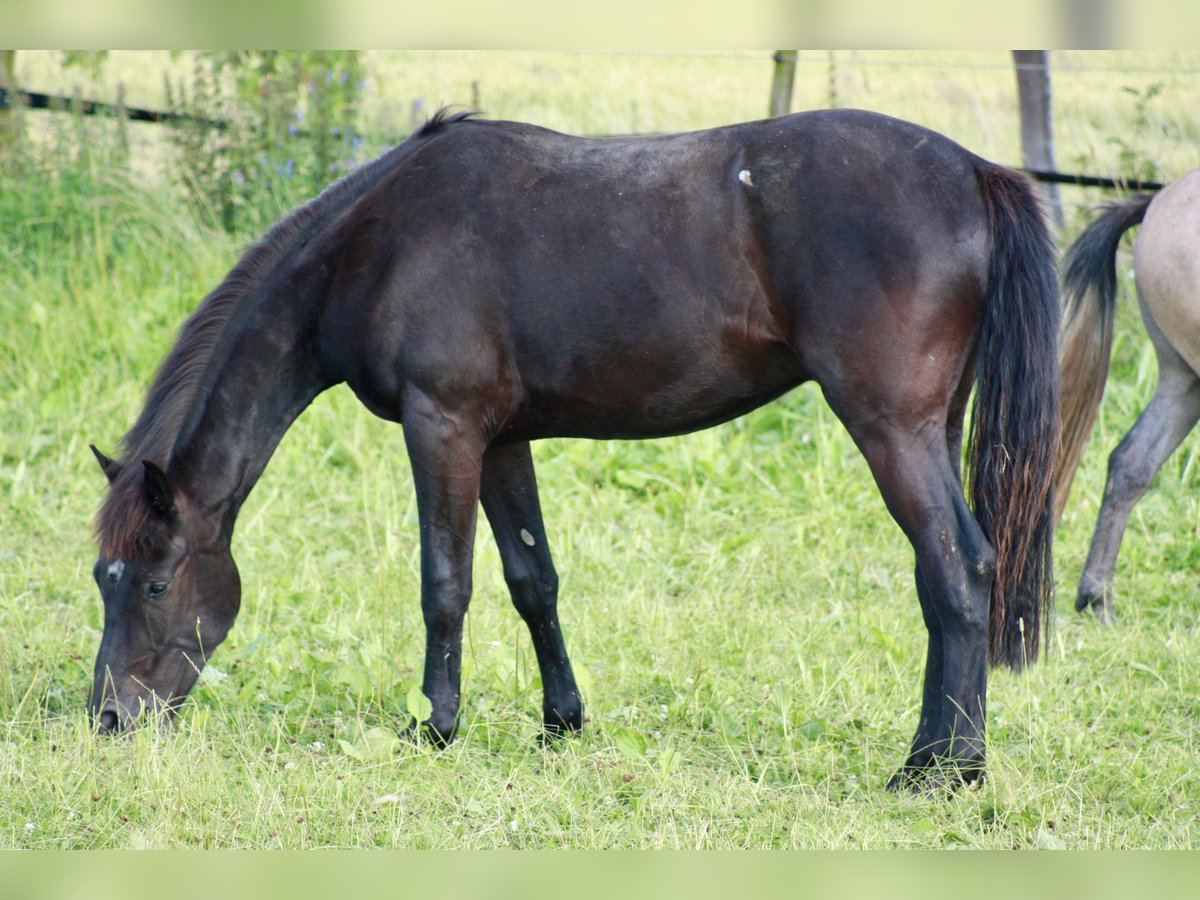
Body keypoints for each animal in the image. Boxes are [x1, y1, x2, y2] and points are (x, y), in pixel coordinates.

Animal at [87, 109, 1060, 792]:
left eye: (157, 583)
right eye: (103, 578)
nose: (108, 720)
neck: (380, 241)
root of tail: (975, 172)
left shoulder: (443, 427)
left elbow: (445, 584)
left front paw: (434, 727)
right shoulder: (503, 440)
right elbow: (533, 580)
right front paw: (560, 722)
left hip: (890, 428)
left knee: (958, 570)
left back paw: (941, 774)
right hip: (931, 427)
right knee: (947, 579)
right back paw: (936, 757)